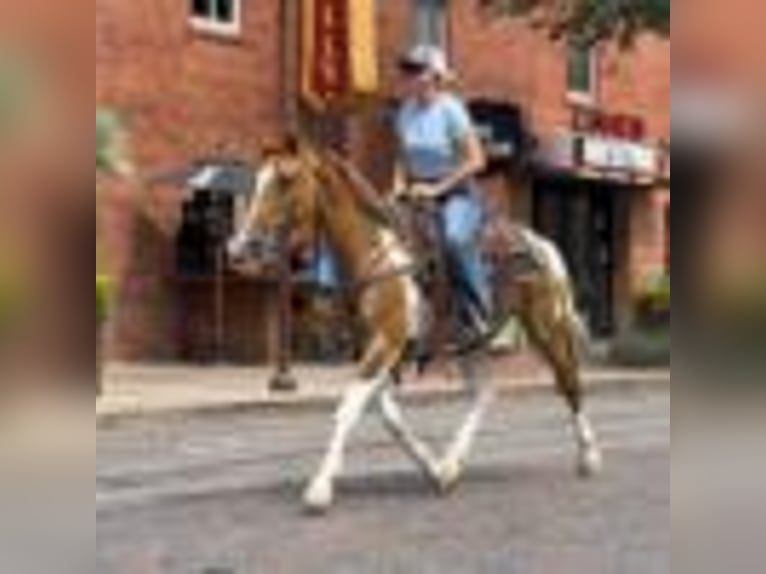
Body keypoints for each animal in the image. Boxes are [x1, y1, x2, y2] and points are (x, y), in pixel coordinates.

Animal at [228, 135, 603, 513]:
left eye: (285, 179)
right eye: (257, 180)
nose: (240, 247)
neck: (376, 255)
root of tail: (538, 242)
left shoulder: (387, 340)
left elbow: (348, 408)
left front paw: (319, 488)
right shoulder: (377, 347)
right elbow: (388, 416)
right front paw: (434, 468)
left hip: (548, 325)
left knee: (569, 382)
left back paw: (589, 456)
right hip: (469, 342)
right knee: (485, 393)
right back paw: (452, 463)